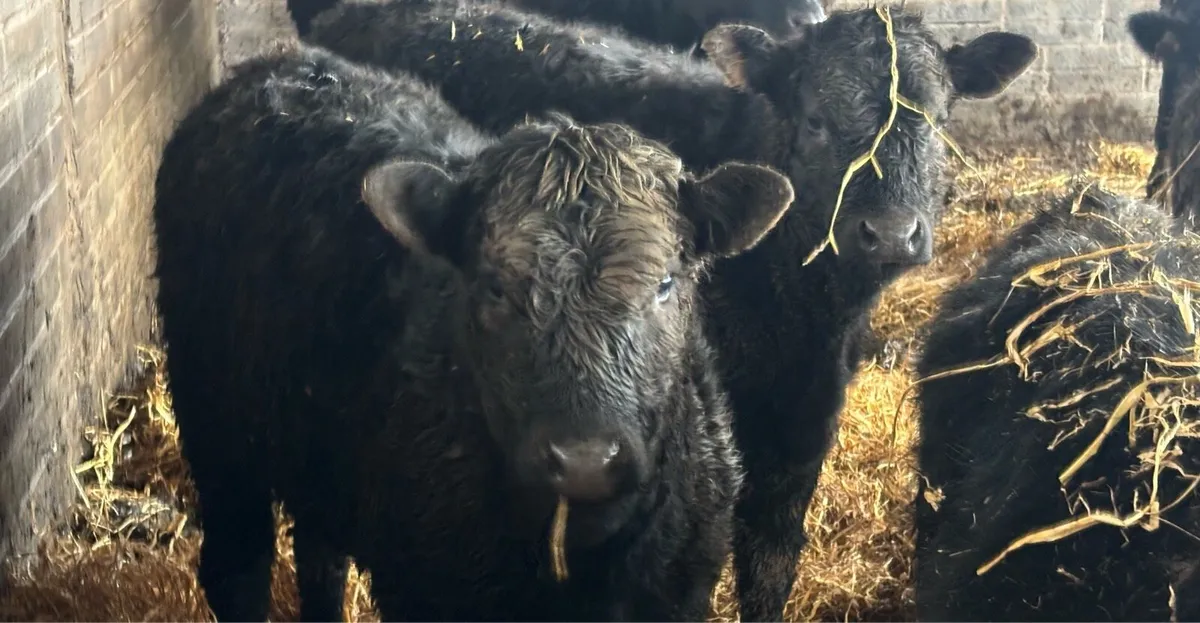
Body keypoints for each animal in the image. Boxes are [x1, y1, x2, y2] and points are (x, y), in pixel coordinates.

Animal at [152, 43, 796, 621]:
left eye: (665, 283)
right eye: (493, 288)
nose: (585, 460)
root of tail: (278, 66)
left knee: (319, 558)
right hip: (214, 427)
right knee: (238, 569)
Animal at [305, 2, 1039, 619]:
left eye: (940, 121)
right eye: (815, 122)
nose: (889, 233)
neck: (795, 322)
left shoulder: (797, 439)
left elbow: (769, 576)